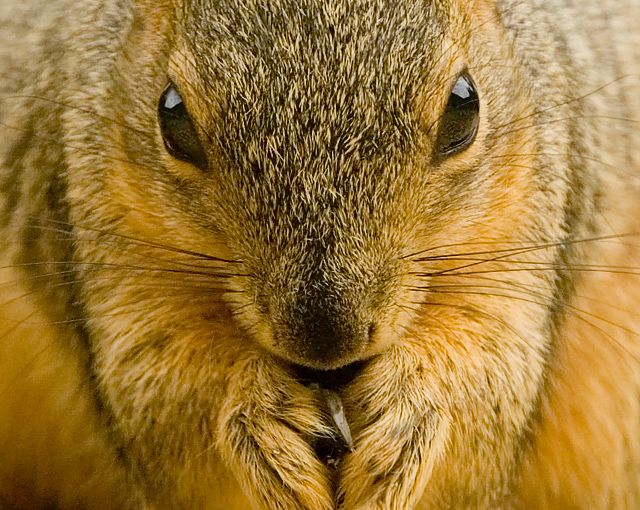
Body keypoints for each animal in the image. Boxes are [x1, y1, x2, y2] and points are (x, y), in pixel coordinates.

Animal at [1, 0, 640, 508]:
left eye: (465, 106)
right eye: (172, 115)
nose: (326, 341)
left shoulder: (536, 217)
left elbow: (489, 393)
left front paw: (408, 418)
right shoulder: (90, 215)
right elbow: (161, 398)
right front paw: (258, 415)